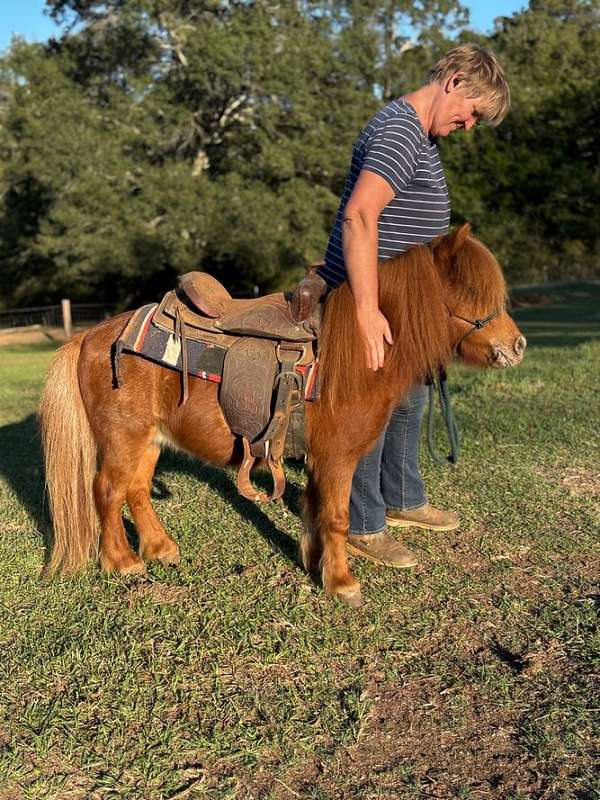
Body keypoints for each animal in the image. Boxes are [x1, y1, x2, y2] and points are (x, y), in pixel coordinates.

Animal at [40, 224, 526, 606]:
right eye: (472, 292)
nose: (517, 346)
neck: (354, 351)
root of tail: (89, 337)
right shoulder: (337, 458)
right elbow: (337, 516)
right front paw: (342, 583)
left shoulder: (320, 459)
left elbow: (314, 509)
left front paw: (313, 563)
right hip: (123, 439)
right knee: (107, 490)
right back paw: (122, 562)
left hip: (150, 441)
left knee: (137, 490)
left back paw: (160, 549)